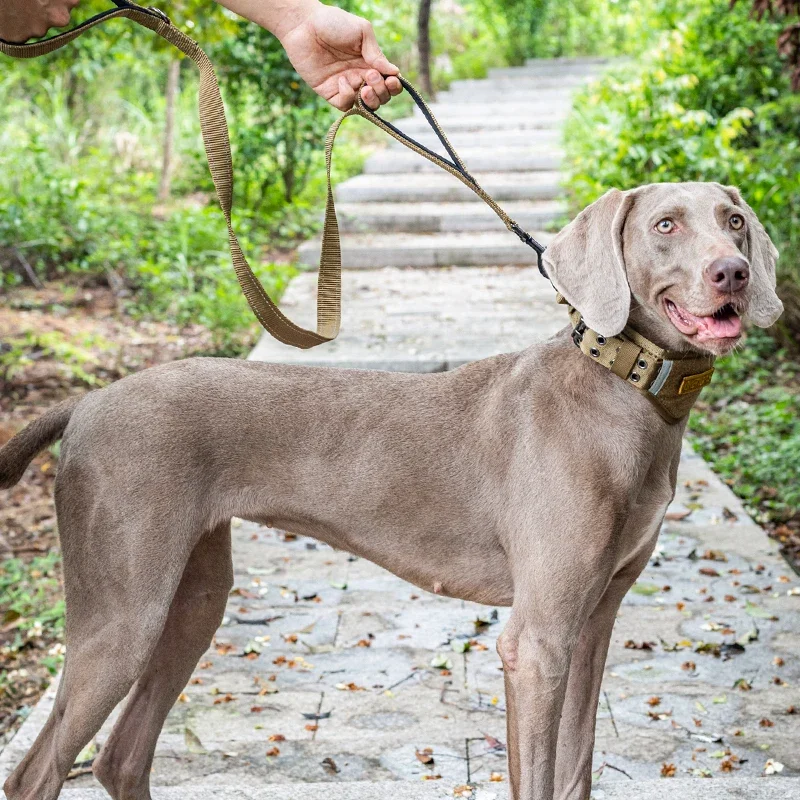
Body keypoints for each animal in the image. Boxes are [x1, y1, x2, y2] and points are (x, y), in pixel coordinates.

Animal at [1, 183, 780, 800]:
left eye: (735, 220)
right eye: (666, 225)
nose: (733, 272)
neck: (624, 391)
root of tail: (86, 402)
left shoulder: (592, 625)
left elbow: (575, 771)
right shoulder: (536, 642)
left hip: (191, 602)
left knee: (120, 758)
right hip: (123, 613)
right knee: (38, 772)